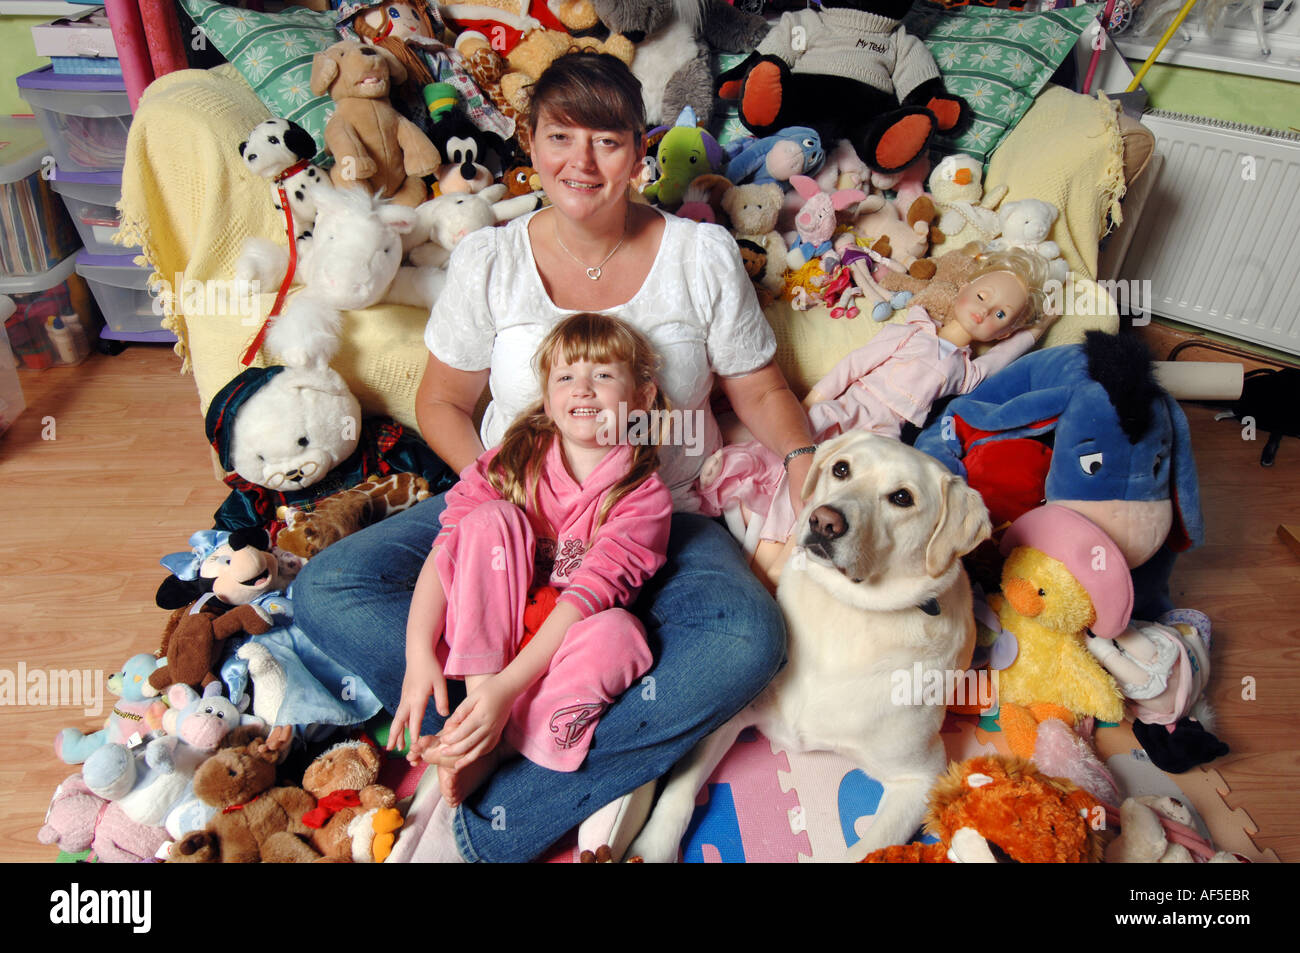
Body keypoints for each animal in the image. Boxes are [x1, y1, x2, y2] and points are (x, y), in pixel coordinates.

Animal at [626, 434, 982, 863]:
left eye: (902, 497)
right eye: (842, 469)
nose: (825, 521)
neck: (846, 613)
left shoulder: (921, 777)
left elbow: (864, 851)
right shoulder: (729, 713)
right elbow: (677, 796)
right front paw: (651, 848)